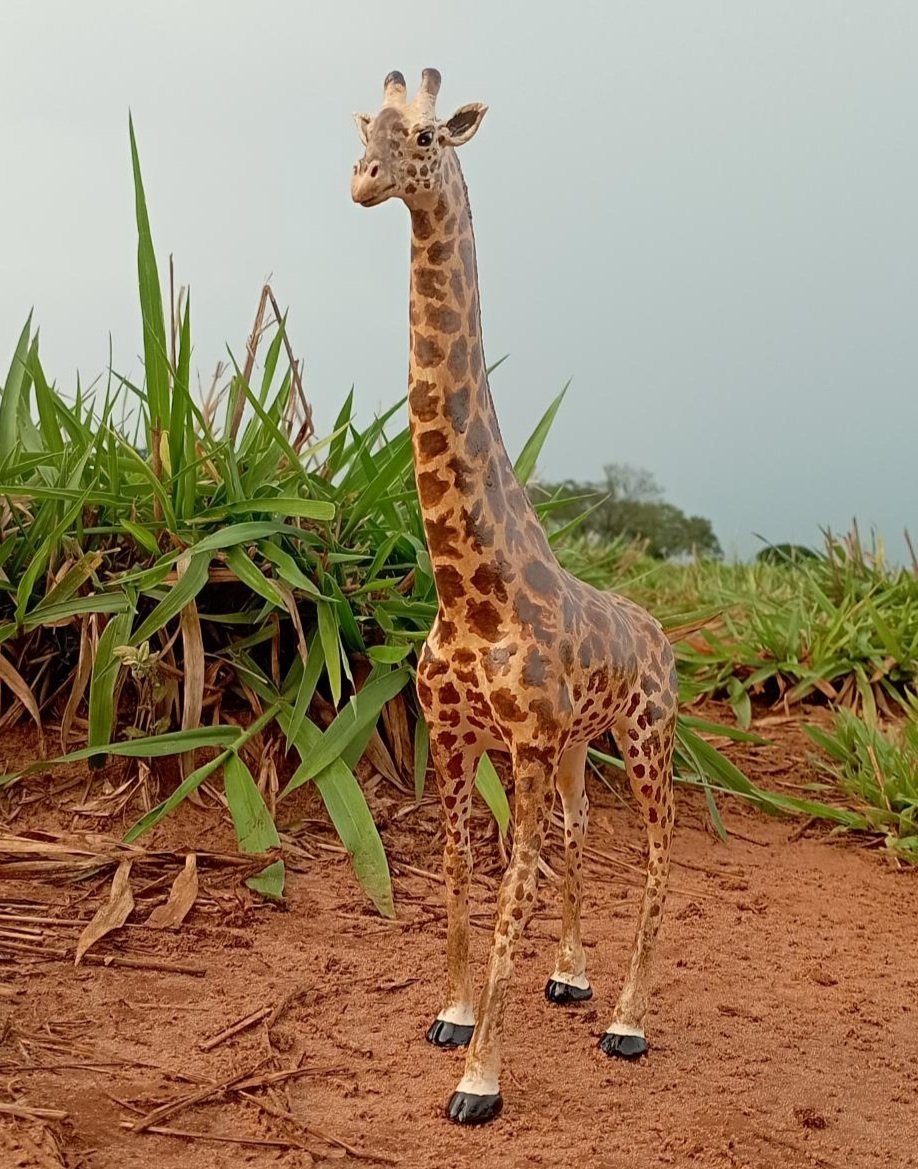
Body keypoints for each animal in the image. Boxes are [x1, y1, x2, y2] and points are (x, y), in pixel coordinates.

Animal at [351, 68, 677, 1126]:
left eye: (421, 136)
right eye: (362, 125)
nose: (364, 181)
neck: (468, 584)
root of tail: (662, 633)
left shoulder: (524, 742)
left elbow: (508, 887)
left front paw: (479, 1080)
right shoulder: (456, 734)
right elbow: (460, 874)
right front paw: (454, 1016)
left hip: (650, 736)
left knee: (659, 854)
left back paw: (627, 1022)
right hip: (583, 747)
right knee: (581, 834)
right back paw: (572, 977)